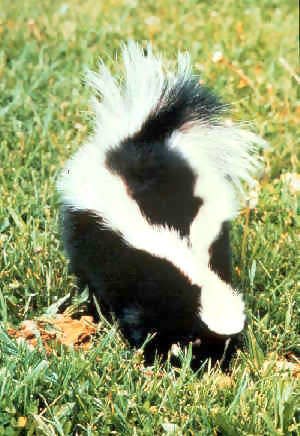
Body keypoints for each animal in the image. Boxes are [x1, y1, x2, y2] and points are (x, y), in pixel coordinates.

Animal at [57, 41, 264, 368]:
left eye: (230, 344)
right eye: (196, 338)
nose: (215, 365)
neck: (191, 268)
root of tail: (141, 140)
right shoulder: (144, 285)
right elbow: (138, 319)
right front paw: (149, 352)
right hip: (85, 229)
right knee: (85, 270)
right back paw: (91, 304)